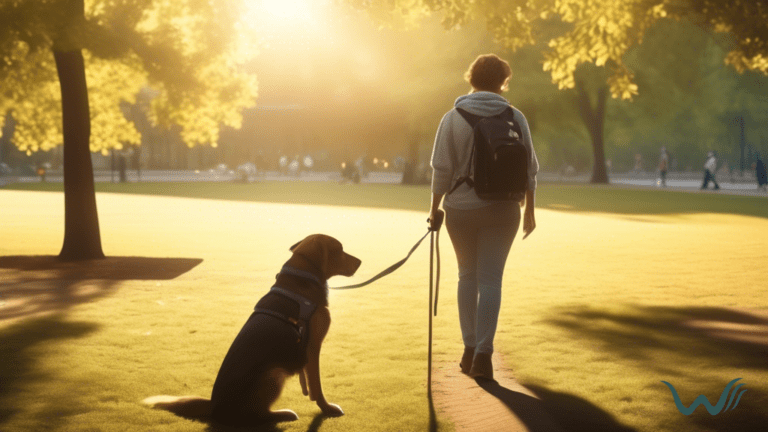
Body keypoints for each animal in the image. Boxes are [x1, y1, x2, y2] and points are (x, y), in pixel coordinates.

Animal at [142, 233, 362, 426]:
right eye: (340, 250)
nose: (360, 261)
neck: (302, 279)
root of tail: (213, 406)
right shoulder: (312, 348)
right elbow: (317, 387)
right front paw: (327, 408)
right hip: (274, 373)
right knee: (257, 415)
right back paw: (283, 414)